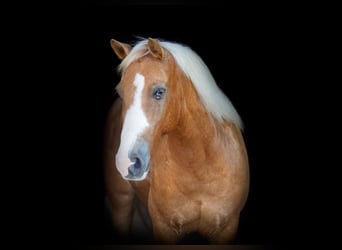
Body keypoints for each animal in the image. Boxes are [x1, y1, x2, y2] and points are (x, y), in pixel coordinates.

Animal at [104, 37, 248, 244]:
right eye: (120, 92)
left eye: (159, 92)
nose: (127, 162)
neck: (200, 168)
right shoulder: (164, 228)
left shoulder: (227, 228)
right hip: (121, 203)